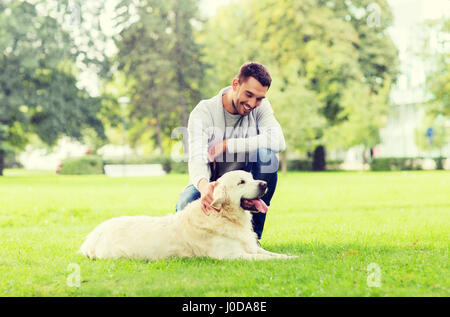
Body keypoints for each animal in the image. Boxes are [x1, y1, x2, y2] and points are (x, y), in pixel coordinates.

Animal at [79, 170, 296, 260]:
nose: (264, 184)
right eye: (241, 182)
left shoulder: (251, 247)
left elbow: (271, 254)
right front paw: (289, 260)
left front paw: (293, 256)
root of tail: (93, 235)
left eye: (252, 178)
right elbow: (266, 258)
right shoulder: (232, 255)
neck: (224, 216)